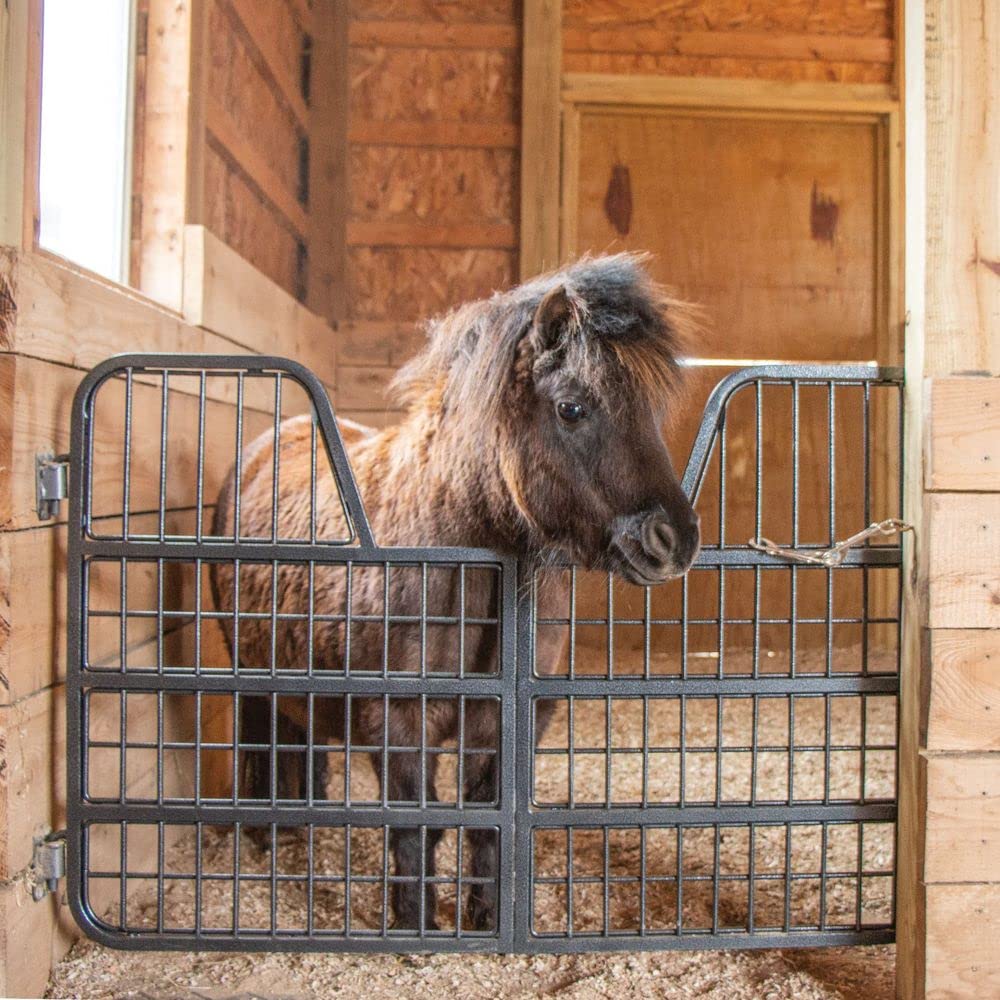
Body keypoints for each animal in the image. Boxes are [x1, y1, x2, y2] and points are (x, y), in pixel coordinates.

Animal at [210, 253, 702, 932]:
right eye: (573, 408)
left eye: (650, 412)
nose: (673, 540)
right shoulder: (398, 723)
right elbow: (417, 827)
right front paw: (415, 920)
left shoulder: (506, 725)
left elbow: (489, 827)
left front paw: (486, 916)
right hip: (250, 671)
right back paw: (270, 834)